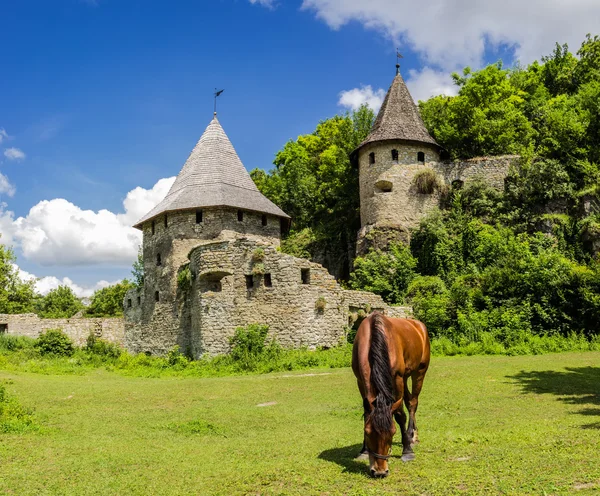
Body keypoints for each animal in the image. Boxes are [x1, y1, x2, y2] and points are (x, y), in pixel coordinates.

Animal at [352, 312, 432, 478]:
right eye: (367, 433)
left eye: (392, 432)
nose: (380, 471)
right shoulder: (360, 381)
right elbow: (366, 413)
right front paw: (364, 450)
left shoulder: (397, 379)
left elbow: (400, 415)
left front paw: (407, 450)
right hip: (406, 376)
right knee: (409, 400)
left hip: (419, 372)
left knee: (413, 403)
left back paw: (411, 435)